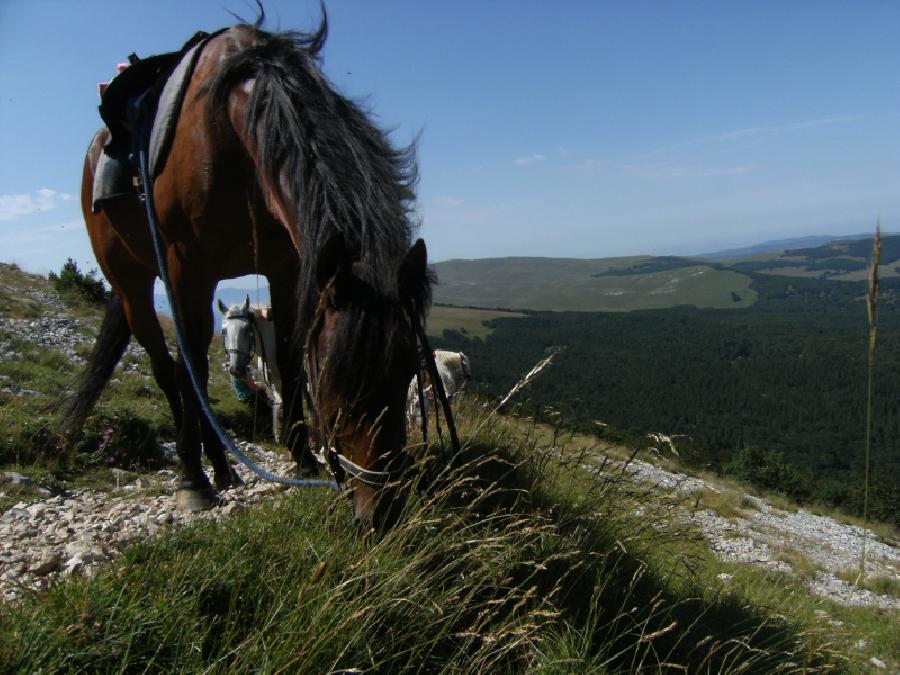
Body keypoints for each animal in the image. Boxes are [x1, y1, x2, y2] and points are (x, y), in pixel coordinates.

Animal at [217, 296, 282, 444]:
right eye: (224, 331)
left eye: (247, 329)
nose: (236, 369)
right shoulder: (276, 384)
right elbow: (278, 406)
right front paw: (279, 436)